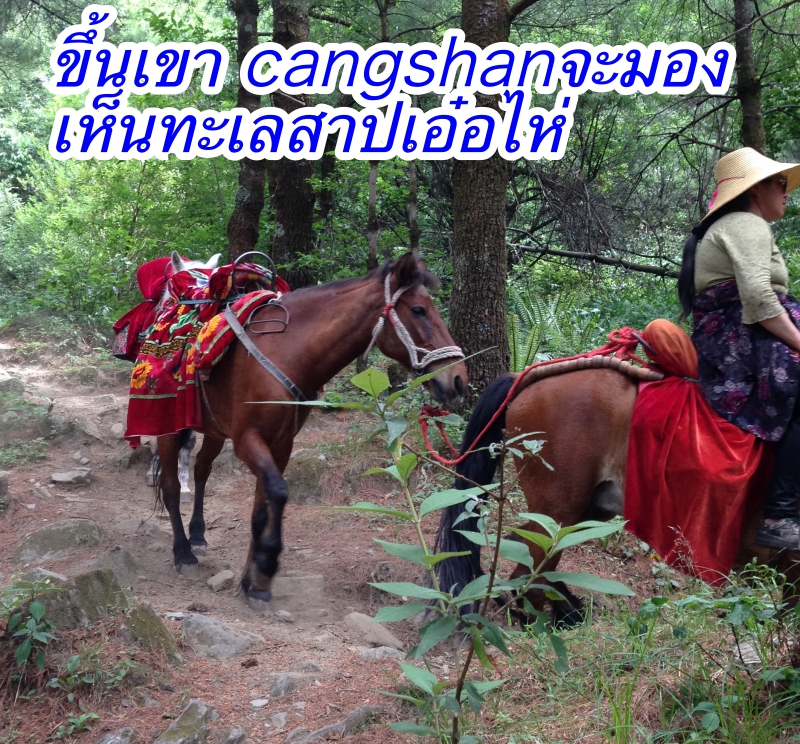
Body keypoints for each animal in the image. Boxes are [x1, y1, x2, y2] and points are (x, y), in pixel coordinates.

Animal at [153, 252, 467, 607]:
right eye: (418, 310)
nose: (458, 380)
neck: (286, 350)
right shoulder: (247, 440)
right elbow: (278, 492)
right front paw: (267, 563)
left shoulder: (281, 443)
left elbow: (261, 509)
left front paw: (253, 581)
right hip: (168, 429)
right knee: (171, 487)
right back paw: (183, 553)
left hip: (215, 430)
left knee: (202, 470)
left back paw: (198, 534)